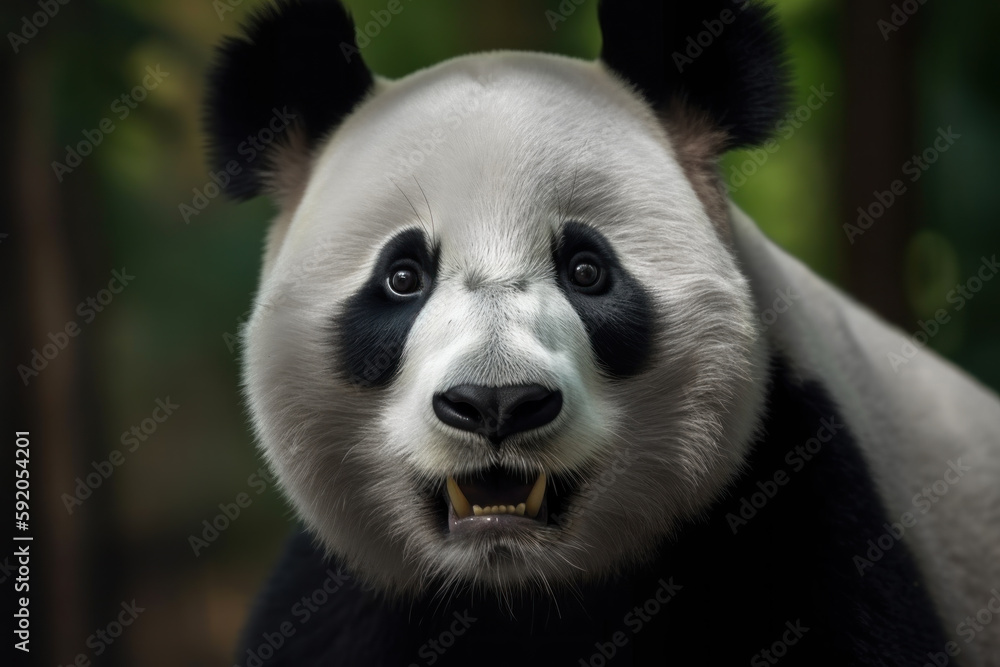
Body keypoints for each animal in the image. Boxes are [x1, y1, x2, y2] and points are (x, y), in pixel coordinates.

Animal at [204, 0, 1000, 664]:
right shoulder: (350, 601)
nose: (497, 404)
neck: (523, 592)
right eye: (403, 277)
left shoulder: (805, 504)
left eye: (587, 270)